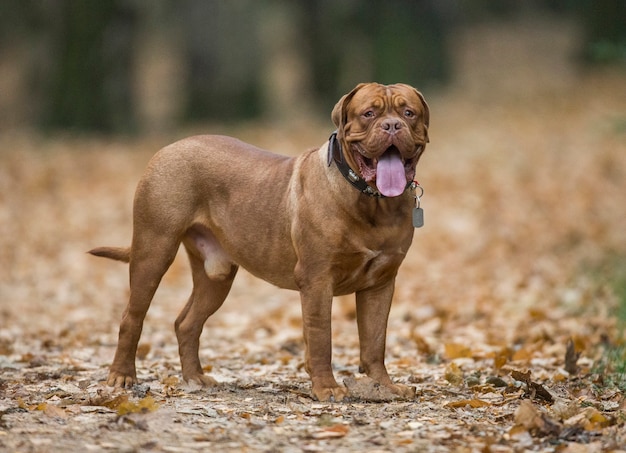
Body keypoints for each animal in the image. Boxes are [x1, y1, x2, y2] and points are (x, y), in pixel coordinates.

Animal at [89, 81, 428, 400]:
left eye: (408, 113)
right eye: (368, 114)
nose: (392, 125)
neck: (372, 202)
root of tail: (168, 147)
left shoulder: (380, 283)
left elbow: (375, 340)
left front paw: (384, 387)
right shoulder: (318, 280)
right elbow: (321, 337)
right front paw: (327, 388)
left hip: (216, 275)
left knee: (187, 322)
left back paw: (195, 378)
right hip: (154, 251)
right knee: (131, 317)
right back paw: (122, 376)